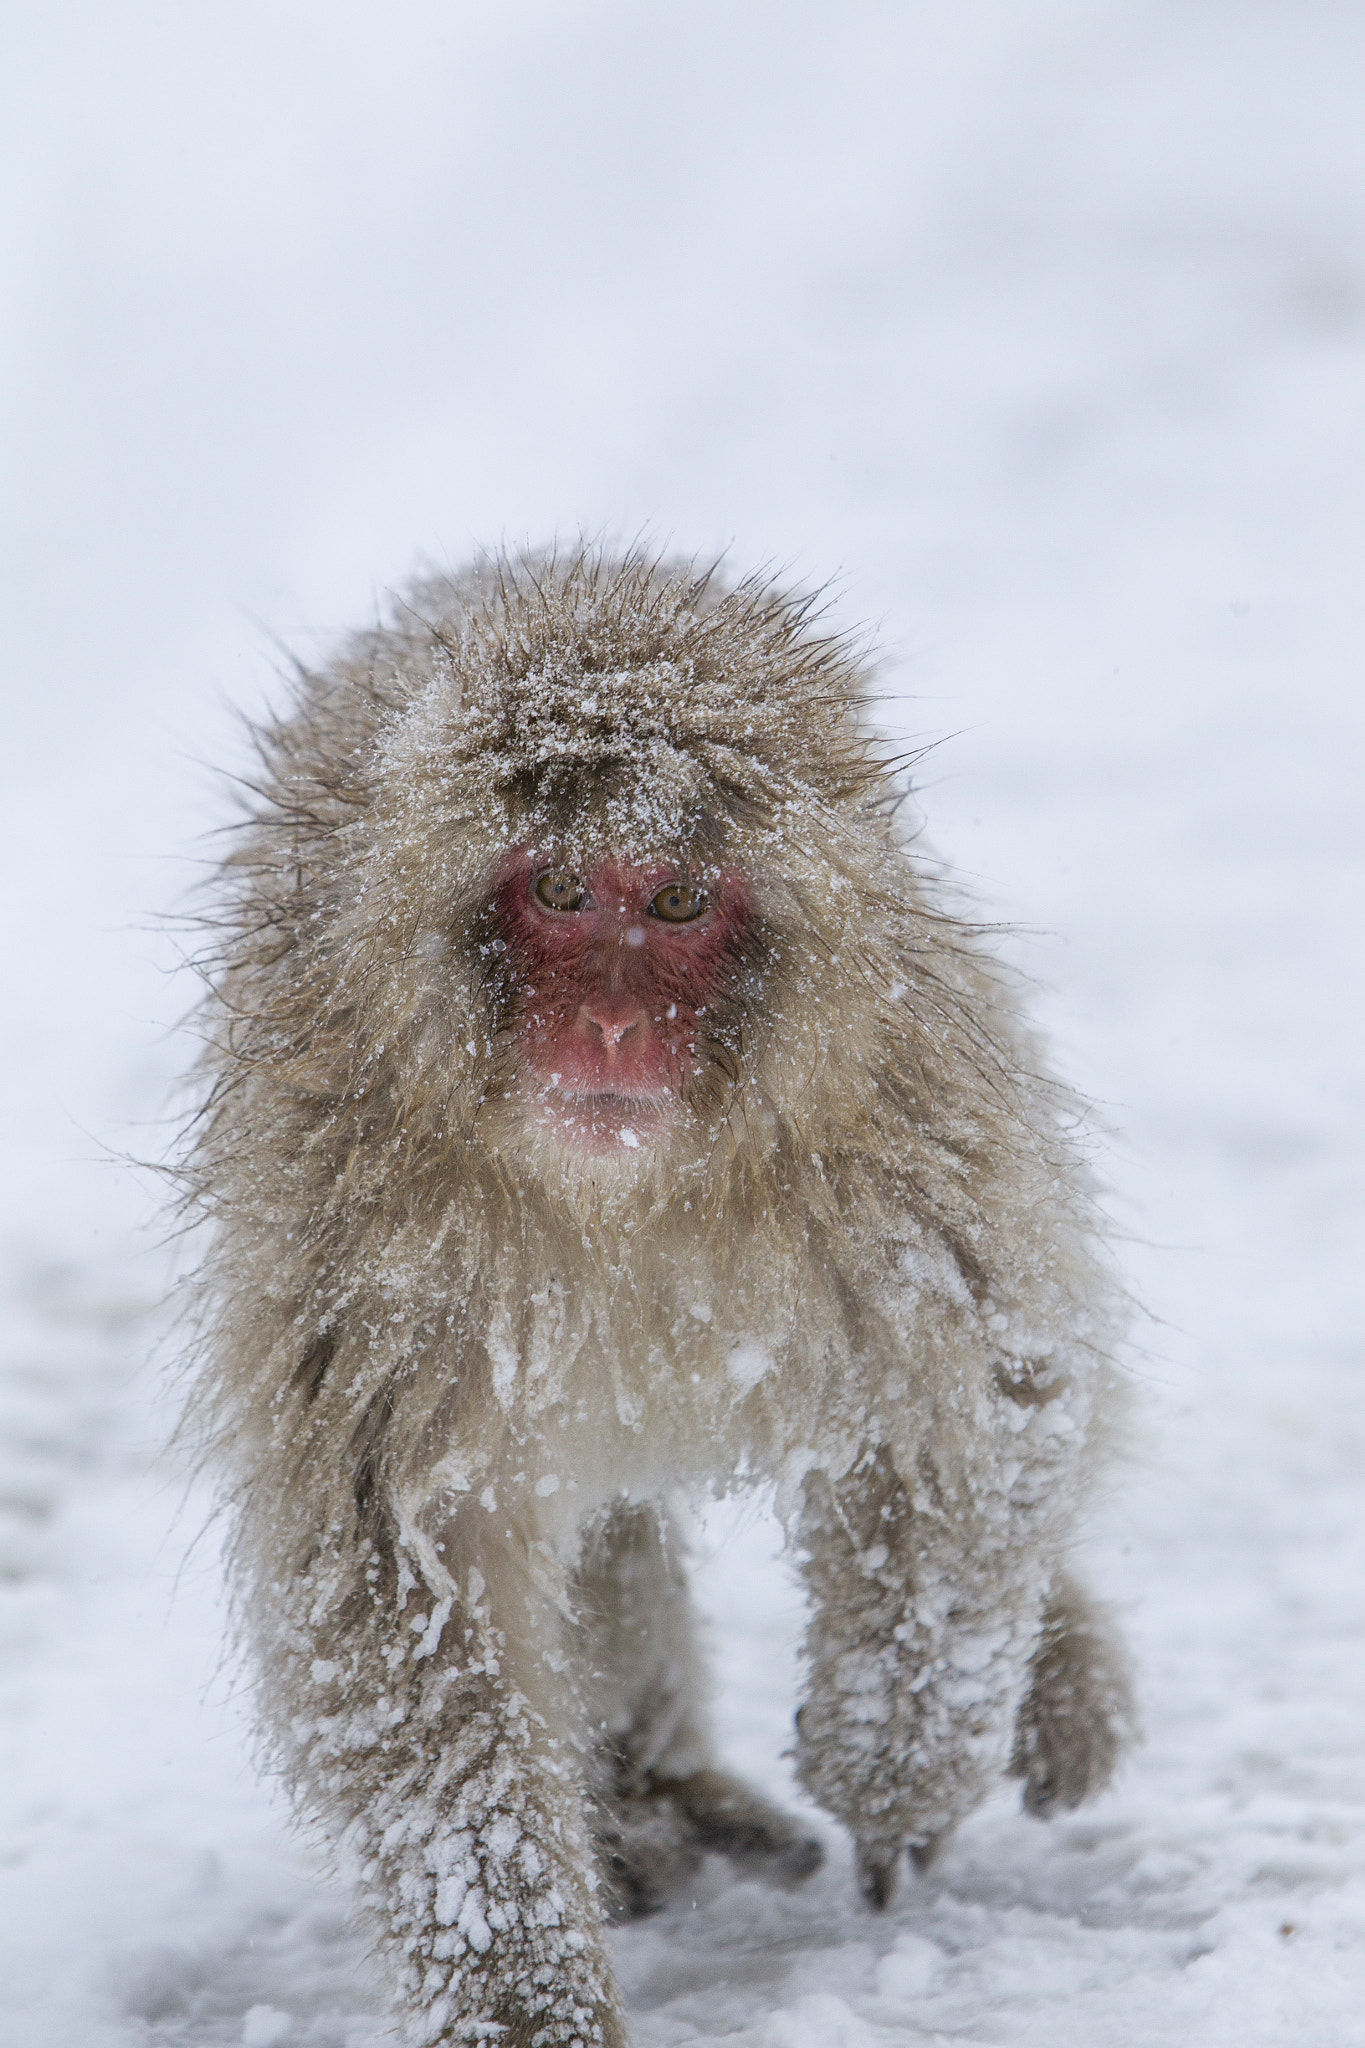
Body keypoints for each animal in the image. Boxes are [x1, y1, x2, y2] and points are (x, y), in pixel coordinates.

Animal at [180, 548, 1134, 2048]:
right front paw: (522, 1995)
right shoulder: (345, 1223)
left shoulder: (907, 1126)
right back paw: (644, 1795)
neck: (625, 1191)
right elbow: (405, 1576)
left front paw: (895, 1768)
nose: (613, 1027)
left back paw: (1050, 1662)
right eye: (565, 890)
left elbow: (989, 1402)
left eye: (680, 903)